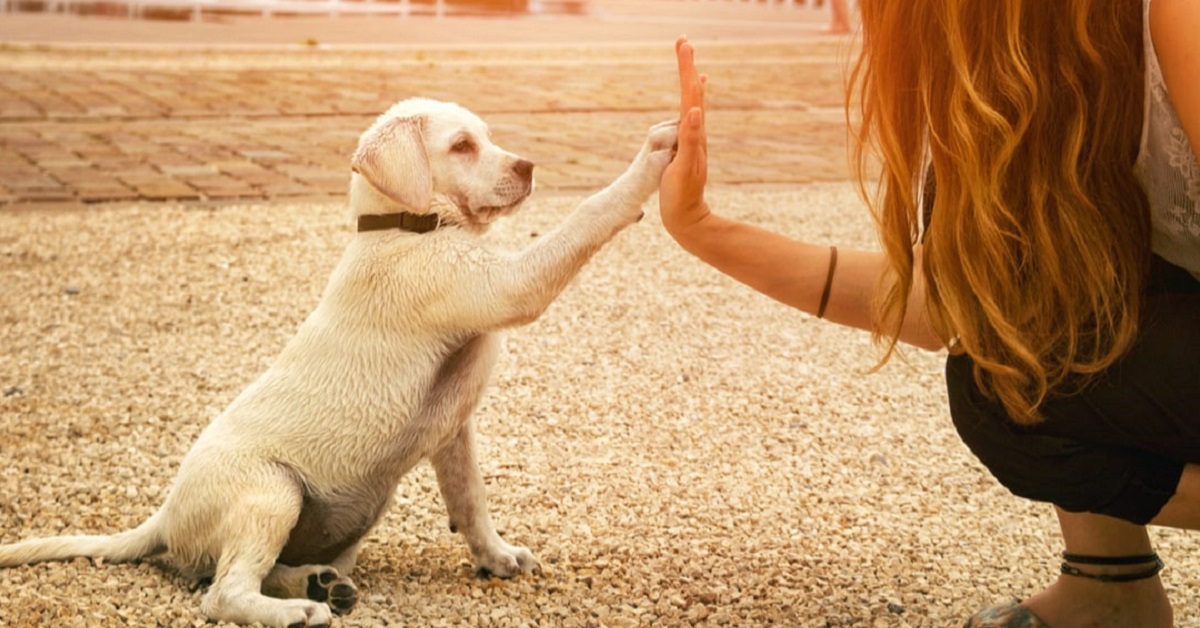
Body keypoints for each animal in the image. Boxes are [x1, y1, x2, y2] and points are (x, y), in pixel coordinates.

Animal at [0, 99, 676, 628]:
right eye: (461, 146)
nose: (528, 167)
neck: (405, 226)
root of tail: (164, 516)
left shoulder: (454, 430)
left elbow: (470, 501)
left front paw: (496, 556)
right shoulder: (508, 285)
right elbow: (587, 216)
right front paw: (653, 158)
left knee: (254, 571)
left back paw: (319, 584)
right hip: (271, 492)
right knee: (222, 593)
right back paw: (297, 608)